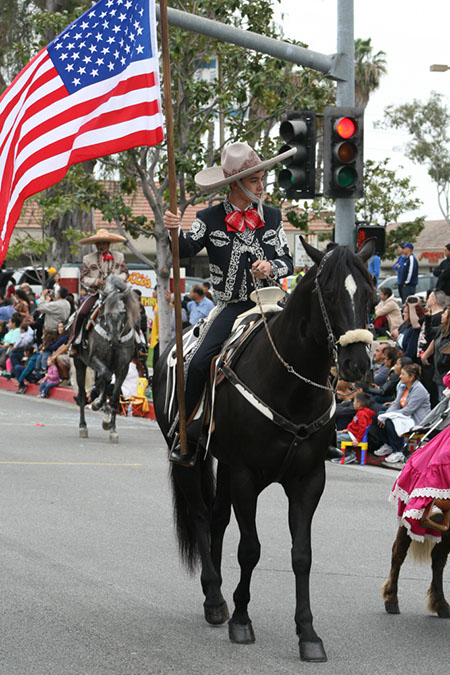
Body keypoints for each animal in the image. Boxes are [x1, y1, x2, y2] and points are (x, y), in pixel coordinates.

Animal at [73, 274, 140, 444]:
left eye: (123, 312)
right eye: (104, 314)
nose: (114, 340)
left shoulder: (123, 368)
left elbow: (114, 397)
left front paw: (112, 429)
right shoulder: (95, 359)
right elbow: (106, 378)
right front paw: (97, 404)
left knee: (102, 382)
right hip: (79, 363)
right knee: (82, 394)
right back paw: (83, 426)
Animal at [153, 239, 374, 664]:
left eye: (371, 294)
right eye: (331, 293)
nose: (357, 363)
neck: (290, 386)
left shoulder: (308, 481)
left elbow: (301, 555)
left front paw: (308, 633)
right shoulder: (245, 476)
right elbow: (250, 549)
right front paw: (242, 619)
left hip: (222, 461)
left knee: (218, 518)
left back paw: (216, 594)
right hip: (191, 455)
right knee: (202, 516)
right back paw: (215, 597)